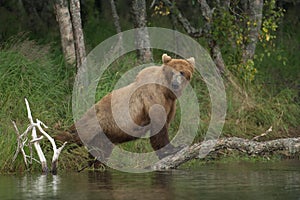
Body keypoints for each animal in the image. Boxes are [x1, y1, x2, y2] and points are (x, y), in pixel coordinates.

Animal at [56, 53, 195, 162]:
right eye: (172, 72)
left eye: (182, 72)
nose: (176, 84)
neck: (166, 91)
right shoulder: (152, 97)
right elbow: (159, 126)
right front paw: (172, 149)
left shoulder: (170, 104)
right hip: (94, 123)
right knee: (71, 135)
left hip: (103, 137)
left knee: (99, 154)